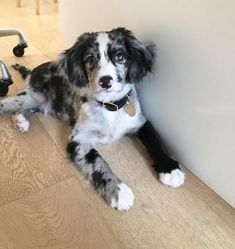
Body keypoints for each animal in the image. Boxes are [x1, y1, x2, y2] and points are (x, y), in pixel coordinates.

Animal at [0, 26, 185, 210]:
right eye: (90, 58)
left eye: (120, 56)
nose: (105, 81)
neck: (111, 107)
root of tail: (34, 71)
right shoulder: (78, 140)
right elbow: (97, 161)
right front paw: (117, 190)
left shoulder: (139, 122)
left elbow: (155, 140)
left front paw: (170, 168)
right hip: (31, 96)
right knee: (9, 102)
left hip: (42, 101)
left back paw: (22, 121)